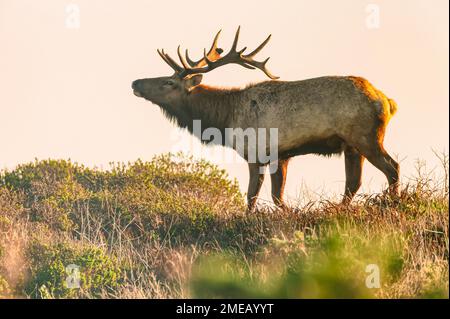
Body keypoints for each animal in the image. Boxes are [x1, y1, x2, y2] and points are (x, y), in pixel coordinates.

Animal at [132, 28, 400, 212]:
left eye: (168, 82)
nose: (135, 82)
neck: (224, 119)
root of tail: (387, 102)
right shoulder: (281, 156)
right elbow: (276, 196)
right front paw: (293, 212)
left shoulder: (255, 151)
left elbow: (252, 196)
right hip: (352, 146)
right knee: (353, 182)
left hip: (366, 137)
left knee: (392, 167)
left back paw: (394, 203)